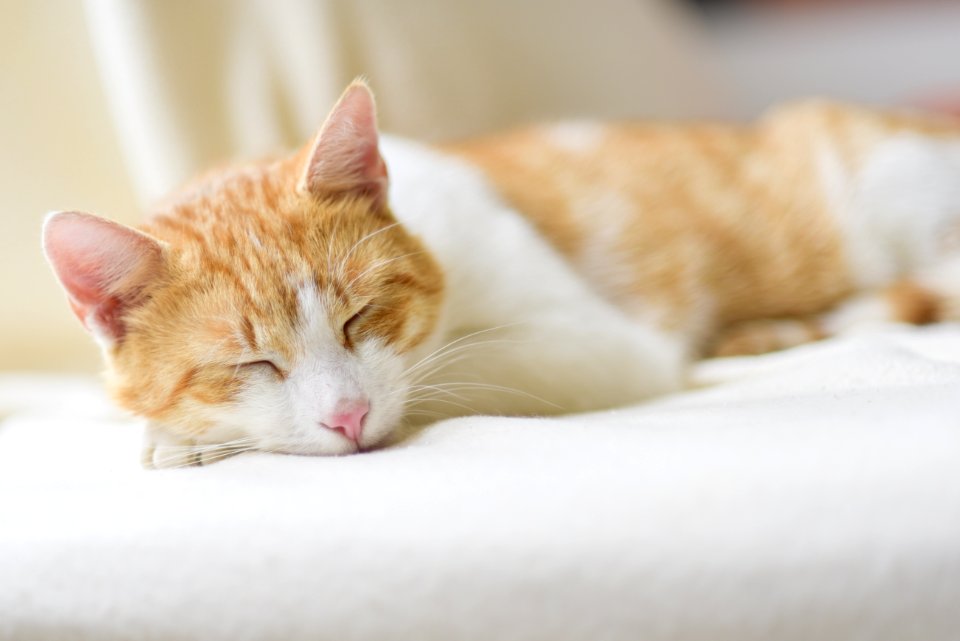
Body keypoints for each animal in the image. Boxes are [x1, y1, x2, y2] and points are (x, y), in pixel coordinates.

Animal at [41, 82, 960, 468]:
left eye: (360, 317)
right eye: (252, 362)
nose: (348, 417)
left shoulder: (602, 344)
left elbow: (458, 373)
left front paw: (179, 439)